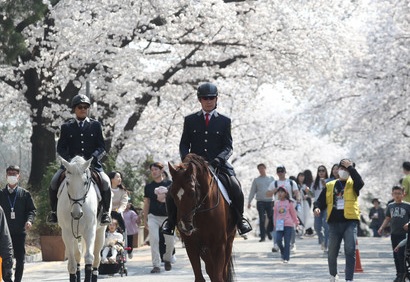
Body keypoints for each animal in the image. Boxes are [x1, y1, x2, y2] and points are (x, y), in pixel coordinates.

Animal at [167, 154, 237, 282]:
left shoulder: (219, 244)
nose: (184, 226)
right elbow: (200, 277)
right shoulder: (191, 244)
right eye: (173, 193)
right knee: (210, 269)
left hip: (228, 241)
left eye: (192, 192)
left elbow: (219, 277)